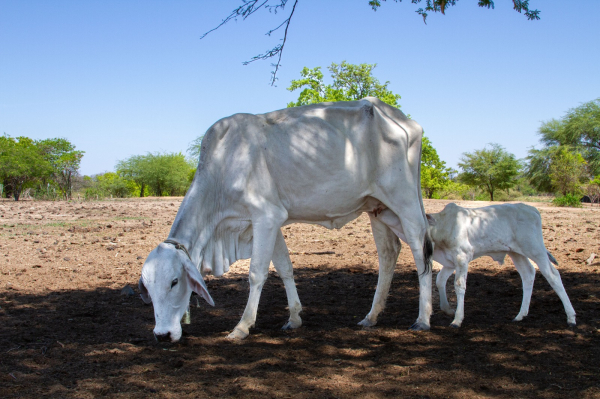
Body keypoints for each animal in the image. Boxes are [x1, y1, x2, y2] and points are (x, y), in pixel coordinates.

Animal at [139, 97, 434, 344]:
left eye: (174, 282)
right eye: (148, 290)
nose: (162, 335)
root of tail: (403, 119)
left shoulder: (266, 216)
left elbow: (257, 273)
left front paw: (242, 327)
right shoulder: (269, 222)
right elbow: (285, 268)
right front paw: (294, 317)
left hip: (405, 201)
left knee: (421, 251)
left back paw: (422, 319)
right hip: (378, 208)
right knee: (388, 253)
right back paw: (371, 317)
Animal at [376, 203, 576, 328]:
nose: (378, 208)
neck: (442, 227)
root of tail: (533, 209)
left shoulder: (463, 257)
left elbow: (459, 285)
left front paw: (457, 319)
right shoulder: (450, 262)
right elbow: (440, 280)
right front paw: (447, 309)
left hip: (535, 249)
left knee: (553, 275)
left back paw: (571, 317)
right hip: (516, 253)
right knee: (528, 275)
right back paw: (520, 315)